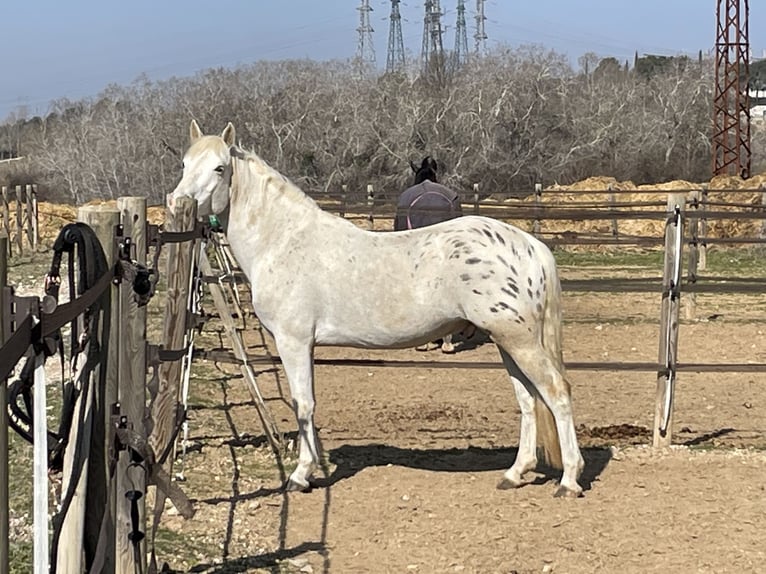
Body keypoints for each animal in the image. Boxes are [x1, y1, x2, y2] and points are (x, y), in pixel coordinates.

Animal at [170, 121, 588, 500]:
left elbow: (302, 405)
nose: (177, 202)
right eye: (185, 163)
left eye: (219, 168)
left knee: (556, 392)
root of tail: (530, 245)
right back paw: (515, 474)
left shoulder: (293, 342)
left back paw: (569, 480)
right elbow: (308, 404)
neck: (284, 241)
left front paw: (301, 475)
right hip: (508, 341)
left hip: (519, 341)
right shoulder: (305, 346)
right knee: (528, 400)